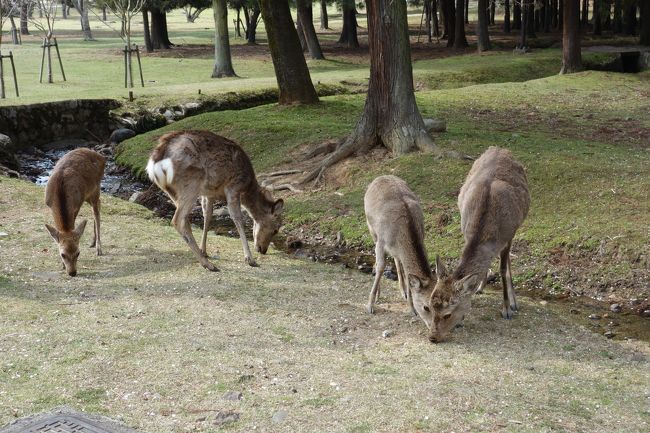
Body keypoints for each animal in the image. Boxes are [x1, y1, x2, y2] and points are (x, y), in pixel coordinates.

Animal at [44, 148, 105, 277]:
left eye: (78, 253)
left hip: (95, 188)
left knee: (96, 211)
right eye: (62, 254)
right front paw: (62, 265)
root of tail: (102, 157)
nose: (72, 272)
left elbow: (73, 226)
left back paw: (98, 248)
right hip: (88, 194)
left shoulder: (76, 205)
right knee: (99, 204)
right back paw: (92, 242)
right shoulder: (49, 205)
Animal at [146, 130, 284, 271]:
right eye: (276, 230)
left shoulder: (209, 193)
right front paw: (250, 259)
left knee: (184, 220)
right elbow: (237, 218)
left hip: (173, 191)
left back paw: (203, 258)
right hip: (191, 184)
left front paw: (204, 250)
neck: (247, 186)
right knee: (177, 220)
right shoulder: (233, 187)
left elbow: (207, 216)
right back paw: (207, 264)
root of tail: (154, 163)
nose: (263, 250)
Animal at [364, 175, 438, 329]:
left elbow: (407, 272)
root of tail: (379, 177)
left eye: (440, 305)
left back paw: (402, 290)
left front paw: (411, 308)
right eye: (426, 307)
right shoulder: (381, 242)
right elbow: (381, 267)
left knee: (398, 260)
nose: (433, 327)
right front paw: (370, 305)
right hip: (371, 228)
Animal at [428, 146, 530, 343]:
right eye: (429, 307)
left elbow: (503, 269)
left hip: (515, 229)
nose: (433, 337)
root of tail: (499, 148)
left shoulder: (508, 235)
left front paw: (506, 309)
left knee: (508, 262)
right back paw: (481, 286)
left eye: (448, 314)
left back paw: (514, 302)